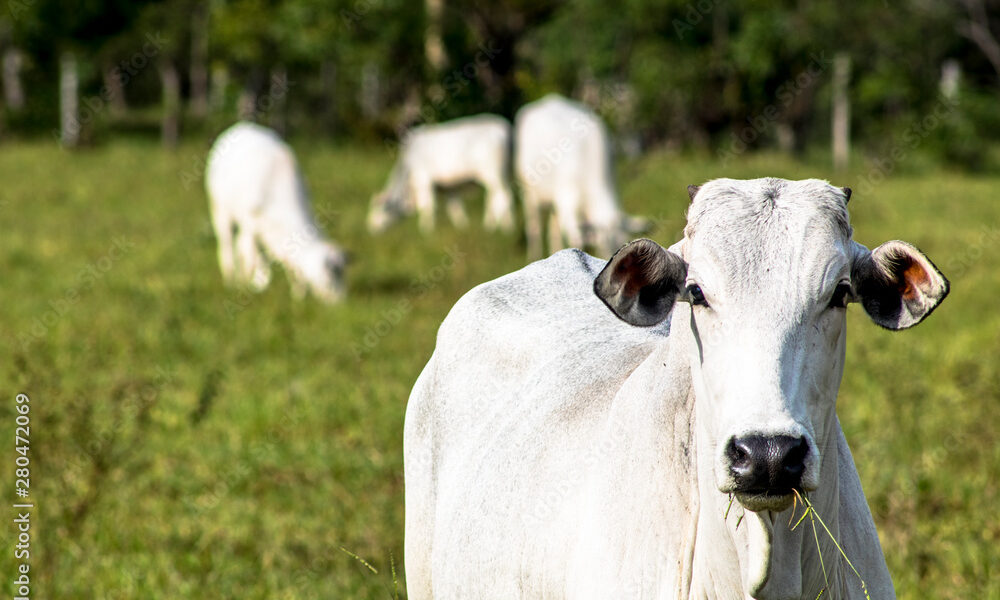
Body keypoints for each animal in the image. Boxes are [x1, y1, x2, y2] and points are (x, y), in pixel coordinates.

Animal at [205, 122, 346, 302]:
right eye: (329, 279)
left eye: (343, 275)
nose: (341, 302)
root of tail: (240, 126)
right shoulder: (250, 223)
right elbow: (250, 254)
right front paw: (254, 284)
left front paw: (298, 293)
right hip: (220, 210)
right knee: (228, 243)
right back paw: (231, 279)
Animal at [372, 113, 520, 236]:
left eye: (380, 209)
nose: (371, 227)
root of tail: (504, 126)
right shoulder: (449, 187)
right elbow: (454, 207)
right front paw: (462, 226)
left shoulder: (423, 179)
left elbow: (426, 206)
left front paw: (425, 231)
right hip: (502, 176)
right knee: (496, 198)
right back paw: (502, 225)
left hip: (492, 174)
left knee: (503, 197)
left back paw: (496, 229)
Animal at [516, 94, 648, 260]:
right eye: (603, 247)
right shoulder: (567, 202)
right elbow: (576, 241)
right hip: (529, 193)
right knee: (534, 226)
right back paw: (535, 255)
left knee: (553, 229)